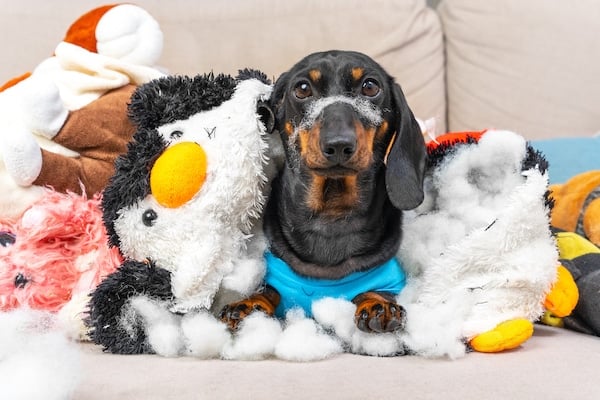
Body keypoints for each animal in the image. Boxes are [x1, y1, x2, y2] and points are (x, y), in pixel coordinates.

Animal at [220, 50, 426, 332]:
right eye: (303, 88)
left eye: (370, 86)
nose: (338, 145)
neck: (331, 214)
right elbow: (268, 291)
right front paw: (248, 303)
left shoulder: (388, 276)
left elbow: (376, 290)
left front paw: (378, 303)